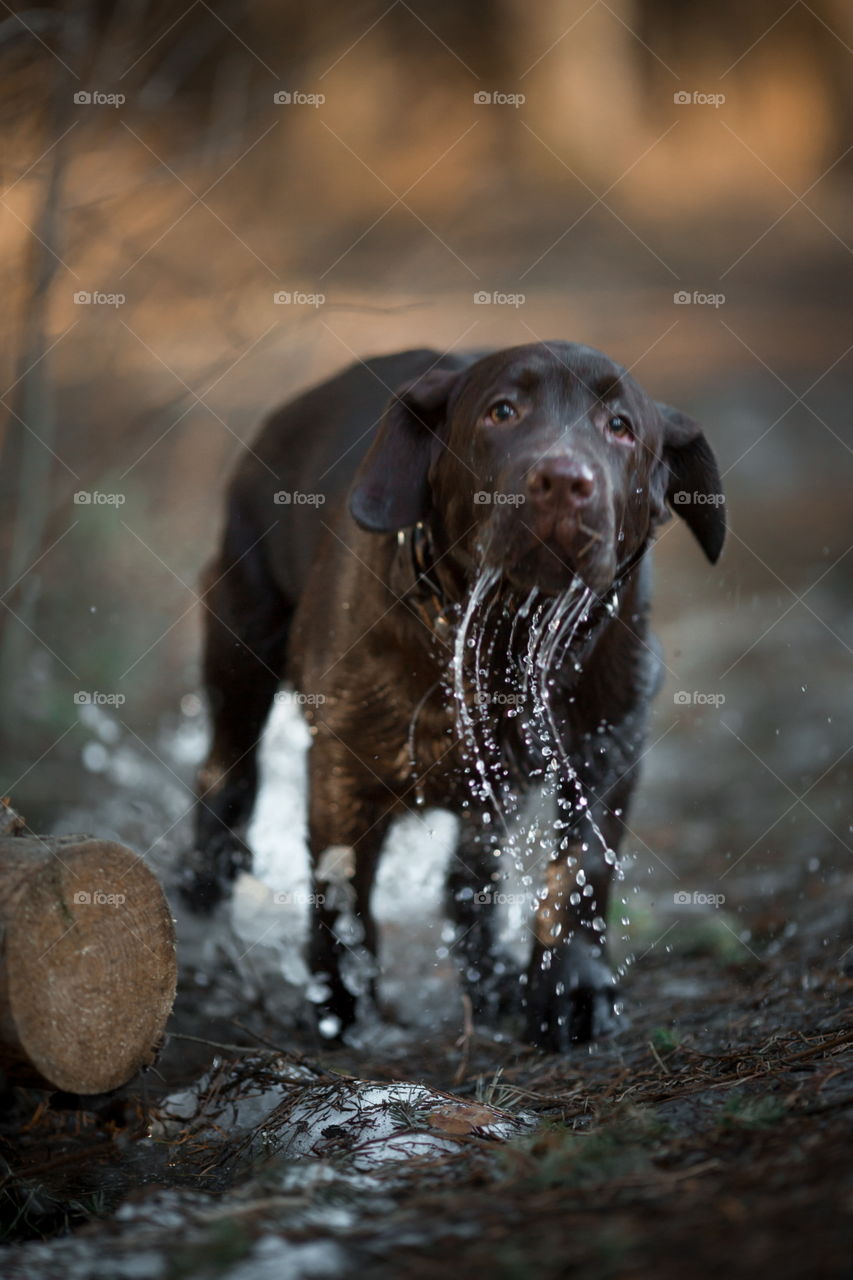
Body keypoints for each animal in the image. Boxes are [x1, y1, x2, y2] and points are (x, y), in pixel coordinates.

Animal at [180, 340, 722, 1049]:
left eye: (621, 427)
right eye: (502, 412)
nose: (563, 480)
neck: (503, 639)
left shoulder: (607, 746)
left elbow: (580, 872)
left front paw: (571, 993)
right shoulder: (343, 768)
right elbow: (343, 895)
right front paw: (339, 1002)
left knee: (470, 884)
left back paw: (490, 983)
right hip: (240, 637)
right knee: (225, 773)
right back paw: (201, 887)